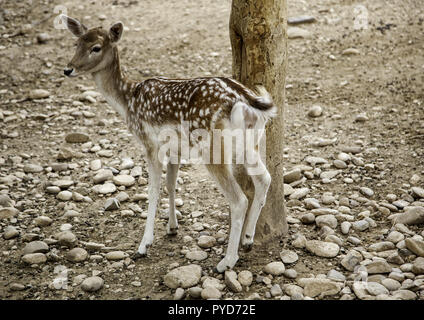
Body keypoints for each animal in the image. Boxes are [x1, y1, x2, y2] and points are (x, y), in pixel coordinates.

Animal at [61, 15, 276, 272]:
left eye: (96, 47)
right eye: (76, 43)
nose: (68, 68)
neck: (128, 101)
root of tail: (247, 102)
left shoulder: (149, 143)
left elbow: (152, 190)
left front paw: (143, 245)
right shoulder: (175, 149)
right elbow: (171, 184)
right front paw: (172, 227)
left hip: (213, 148)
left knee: (239, 199)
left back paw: (227, 261)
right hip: (251, 143)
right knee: (264, 179)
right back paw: (248, 239)